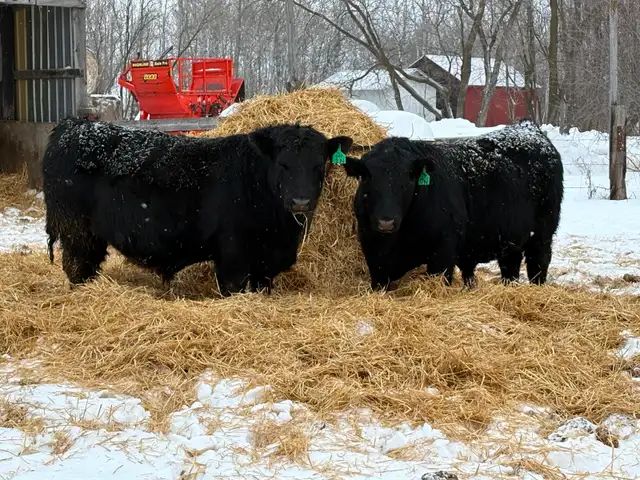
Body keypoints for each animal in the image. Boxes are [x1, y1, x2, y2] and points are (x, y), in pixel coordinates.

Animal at [42, 118, 353, 296]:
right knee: (77, 268)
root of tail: (74, 125)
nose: (300, 201)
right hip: (76, 231)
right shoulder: (233, 255)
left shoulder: (265, 263)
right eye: (283, 164)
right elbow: (233, 288)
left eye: (318, 165)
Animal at [343, 120, 564, 290]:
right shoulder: (373, 256)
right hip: (511, 240)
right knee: (510, 267)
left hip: (543, 234)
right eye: (367, 177)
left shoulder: (443, 253)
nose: (386, 222)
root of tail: (527, 126)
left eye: (408, 178)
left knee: (538, 264)